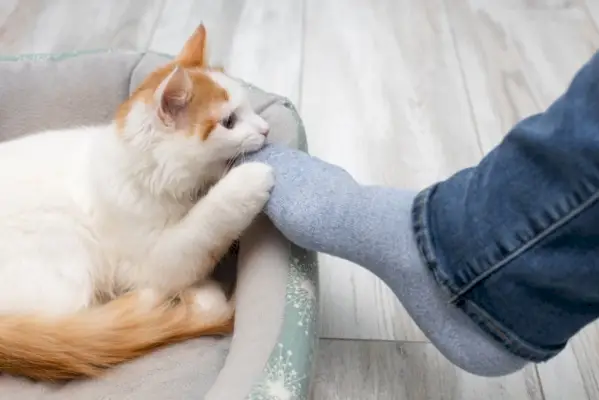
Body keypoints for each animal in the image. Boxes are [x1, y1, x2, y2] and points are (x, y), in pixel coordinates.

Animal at [0, 24, 274, 382]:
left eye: (251, 109)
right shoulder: (151, 259)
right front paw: (247, 181)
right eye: (229, 122)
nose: (266, 129)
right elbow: (203, 229)